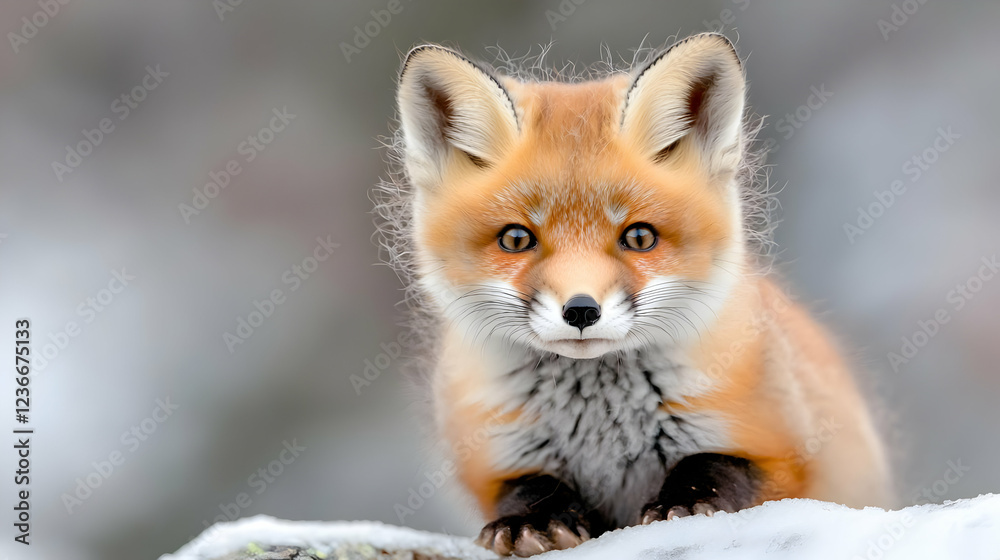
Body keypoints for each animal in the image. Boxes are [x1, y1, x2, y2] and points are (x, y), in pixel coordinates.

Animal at [376, 33, 893, 556]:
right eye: (516, 239)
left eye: (640, 237)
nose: (581, 311)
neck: (602, 422)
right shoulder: (498, 463)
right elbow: (529, 489)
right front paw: (532, 520)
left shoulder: (787, 455)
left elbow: (714, 466)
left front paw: (684, 503)